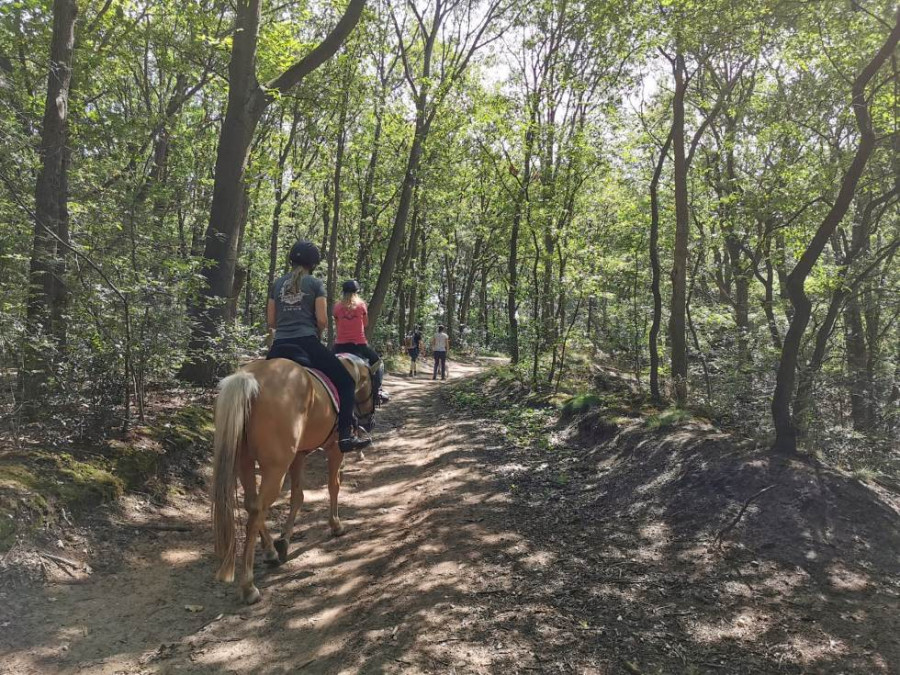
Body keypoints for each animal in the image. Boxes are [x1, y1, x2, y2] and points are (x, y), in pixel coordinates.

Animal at [208, 356, 376, 604]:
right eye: (373, 383)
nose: (368, 419)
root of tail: (250, 379)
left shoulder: (299, 455)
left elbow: (298, 496)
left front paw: (284, 540)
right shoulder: (335, 449)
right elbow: (333, 486)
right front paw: (336, 525)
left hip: (244, 462)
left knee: (251, 505)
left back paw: (270, 551)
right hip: (275, 467)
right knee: (258, 510)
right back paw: (249, 586)